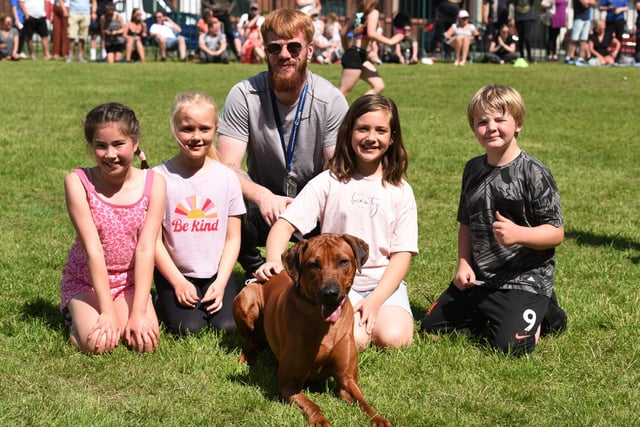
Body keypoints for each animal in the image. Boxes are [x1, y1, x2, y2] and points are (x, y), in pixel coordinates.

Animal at [230, 234, 390, 427]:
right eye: (313, 264)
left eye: (343, 261)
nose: (330, 293)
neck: (325, 325)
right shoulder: (288, 383)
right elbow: (312, 404)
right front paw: (320, 419)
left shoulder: (347, 377)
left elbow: (362, 400)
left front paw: (378, 418)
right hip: (246, 300)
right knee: (252, 339)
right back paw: (247, 356)